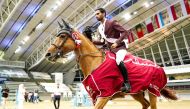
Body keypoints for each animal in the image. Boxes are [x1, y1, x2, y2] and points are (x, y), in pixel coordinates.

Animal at [45, 19, 177, 109]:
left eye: (62, 36)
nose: (48, 54)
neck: (95, 62)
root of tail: (159, 67)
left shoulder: (104, 94)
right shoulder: (95, 96)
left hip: (152, 90)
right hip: (136, 92)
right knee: (145, 104)